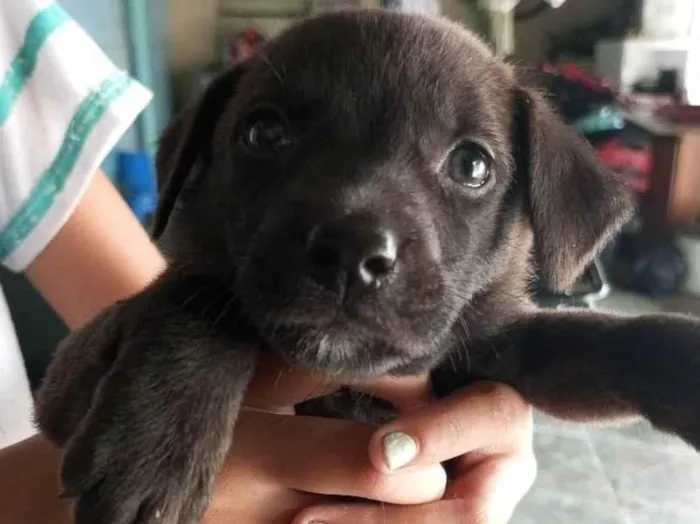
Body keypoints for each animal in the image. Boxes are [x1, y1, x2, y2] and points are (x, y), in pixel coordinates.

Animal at [35, 9, 700, 524]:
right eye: (264, 133)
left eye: (472, 166)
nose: (351, 255)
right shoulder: (66, 385)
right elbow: (196, 297)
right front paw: (149, 452)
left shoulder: (487, 349)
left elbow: (588, 339)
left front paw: (680, 368)